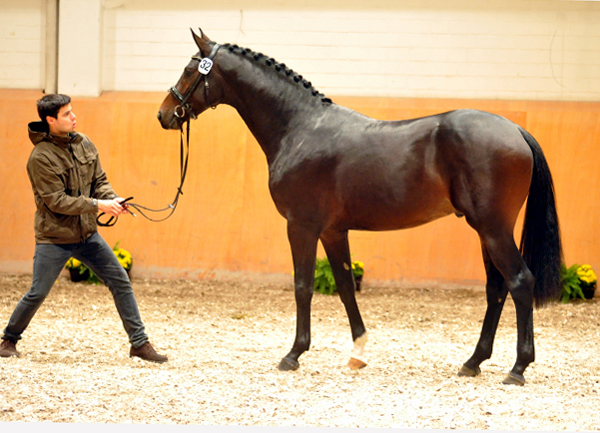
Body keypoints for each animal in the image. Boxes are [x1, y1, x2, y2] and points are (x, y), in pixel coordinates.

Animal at [158, 27, 564, 384]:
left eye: (190, 69)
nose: (164, 114)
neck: (300, 128)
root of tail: (515, 130)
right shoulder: (333, 230)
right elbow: (344, 286)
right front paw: (358, 353)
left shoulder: (301, 226)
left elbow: (302, 286)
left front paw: (294, 354)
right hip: (485, 232)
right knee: (496, 289)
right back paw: (473, 362)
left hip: (493, 230)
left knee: (520, 282)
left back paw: (518, 368)